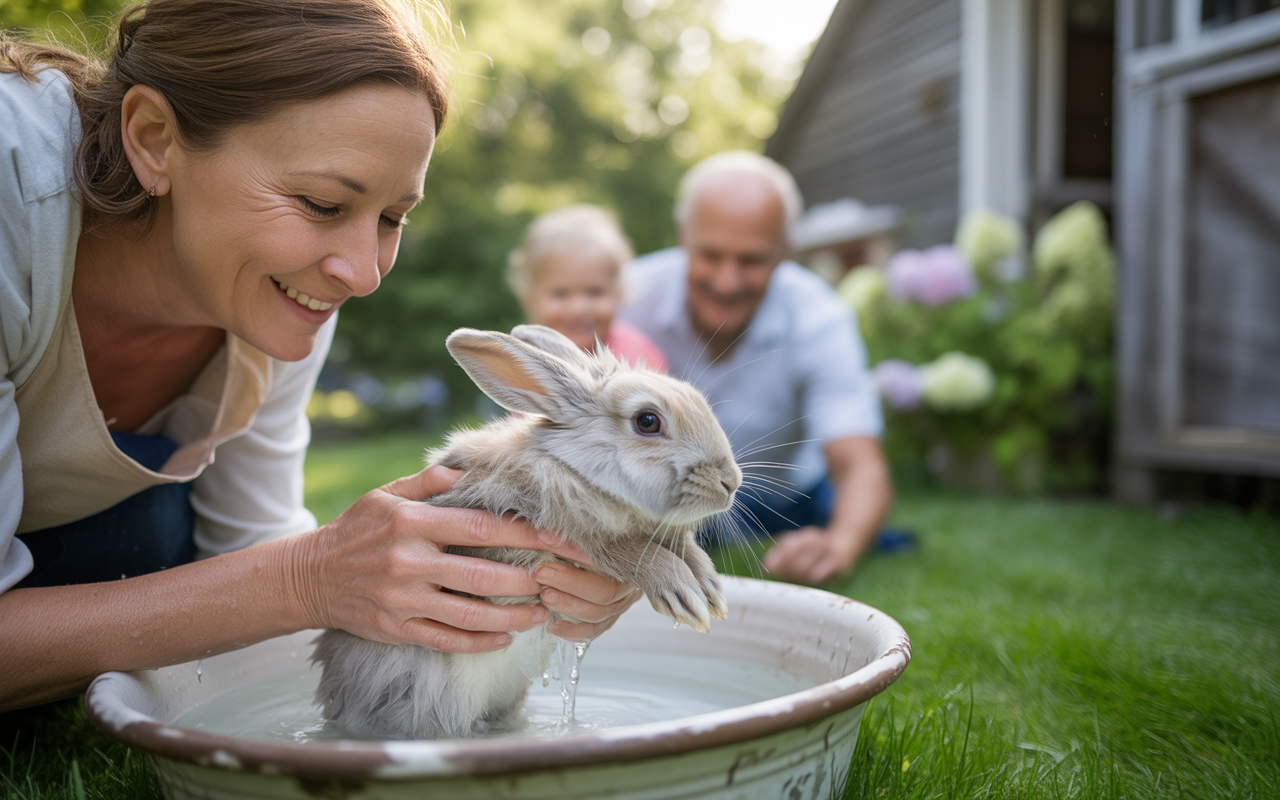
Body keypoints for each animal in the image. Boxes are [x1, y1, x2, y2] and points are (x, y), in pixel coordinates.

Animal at [311, 324, 742, 740]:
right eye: (647, 421)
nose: (730, 482)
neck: (573, 469)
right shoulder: (573, 536)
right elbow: (630, 551)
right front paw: (683, 594)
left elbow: (683, 548)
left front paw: (710, 590)